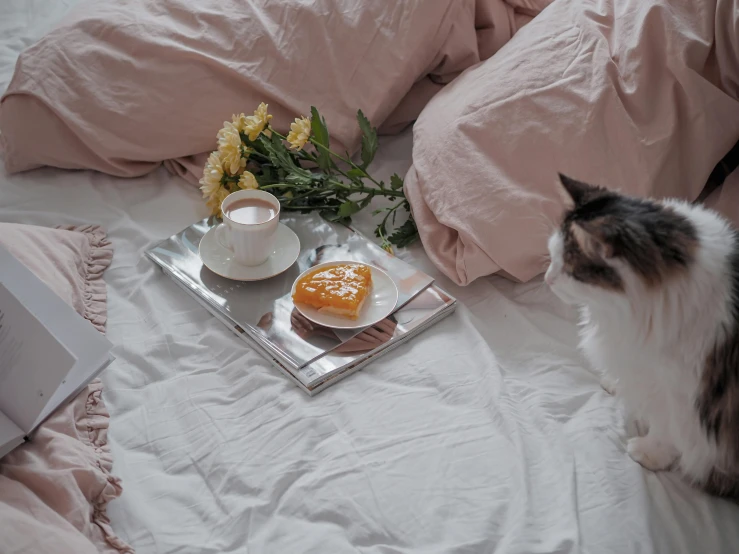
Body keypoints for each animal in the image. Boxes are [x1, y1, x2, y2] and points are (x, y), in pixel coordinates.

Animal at [548, 174, 739, 496]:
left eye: (570, 271)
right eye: (552, 257)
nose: (547, 279)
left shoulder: (680, 394)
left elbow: (667, 430)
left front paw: (649, 453)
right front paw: (614, 382)